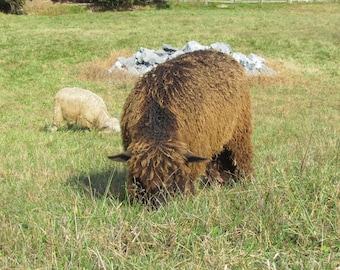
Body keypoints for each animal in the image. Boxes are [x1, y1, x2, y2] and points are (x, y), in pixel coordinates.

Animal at [109, 49, 252, 205]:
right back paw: (218, 182)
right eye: (141, 178)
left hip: (240, 130)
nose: (157, 204)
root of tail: (219, 52)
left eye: (172, 177)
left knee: (243, 157)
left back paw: (246, 181)